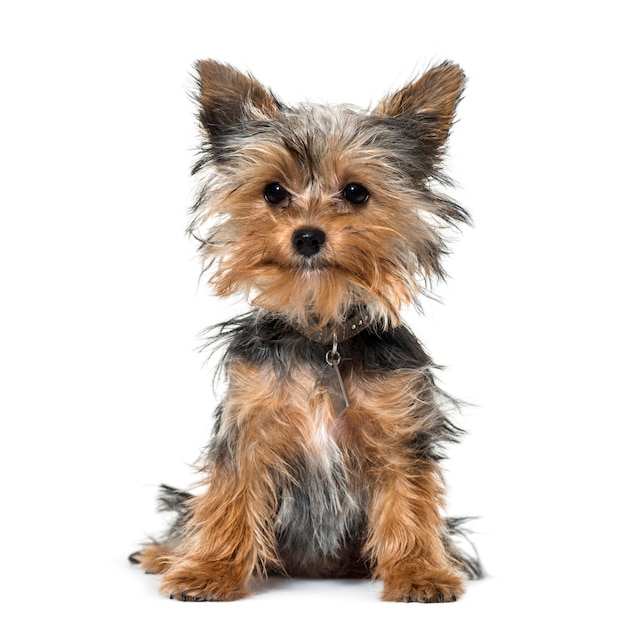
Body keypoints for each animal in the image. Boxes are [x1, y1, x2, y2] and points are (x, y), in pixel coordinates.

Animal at [129, 59, 482, 600]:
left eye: (356, 192)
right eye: (274, 191)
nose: (308, 236)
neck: (322, 333)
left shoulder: (398, 428)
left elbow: (409, 500)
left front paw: (419, 572)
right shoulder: (249, 424)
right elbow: (229, 496)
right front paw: (209, 570)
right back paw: (163, 553)